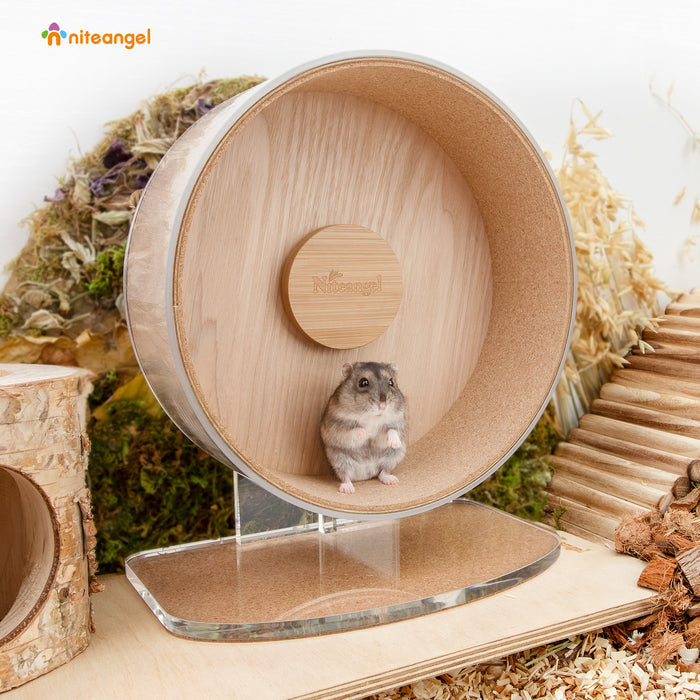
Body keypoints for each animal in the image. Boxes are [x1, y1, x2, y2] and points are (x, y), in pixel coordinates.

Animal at [320, 362, 407, 494]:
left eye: (391, 382)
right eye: (363, 382)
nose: (383, 406)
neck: (372, 416)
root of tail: (365, 475)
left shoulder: (397, 423)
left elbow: (391, 430)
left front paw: (394, 443)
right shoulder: (336, 426)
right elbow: (355, 430)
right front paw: (368, 433)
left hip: (393, 456)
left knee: (382, 472)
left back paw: (392, 480)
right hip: (339, 459)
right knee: (345, 476)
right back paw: (348, 489)